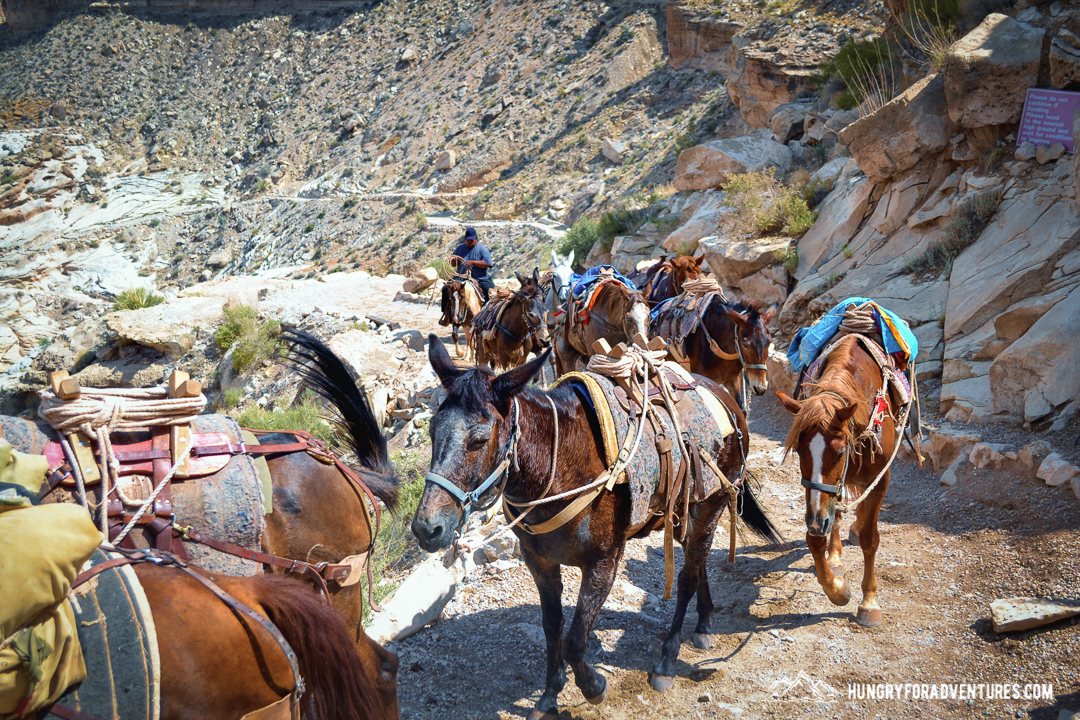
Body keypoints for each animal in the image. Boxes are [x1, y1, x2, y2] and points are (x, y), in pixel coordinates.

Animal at [408, 338, 781, 720]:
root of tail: (726, 398)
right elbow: (553, 628)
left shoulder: (604, 561)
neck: (560, 465)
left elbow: (575, 640)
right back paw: (704, 624)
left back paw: (667, 660)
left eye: (480, 440)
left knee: (689, 574)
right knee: (698, 559)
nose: (427, 528)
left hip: (712, 503)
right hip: (683, 509)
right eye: (432, 432)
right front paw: (549, 695)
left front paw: (593, 687)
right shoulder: (539, 561)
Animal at [781, 334, 898, 626]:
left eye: (841, 451)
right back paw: (835, 556)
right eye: (800, 451)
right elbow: (816, 538)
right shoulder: (820, 497)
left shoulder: (881, 479)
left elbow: (870, 538)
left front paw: (869, 602)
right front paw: (837, 588)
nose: (815, 521)